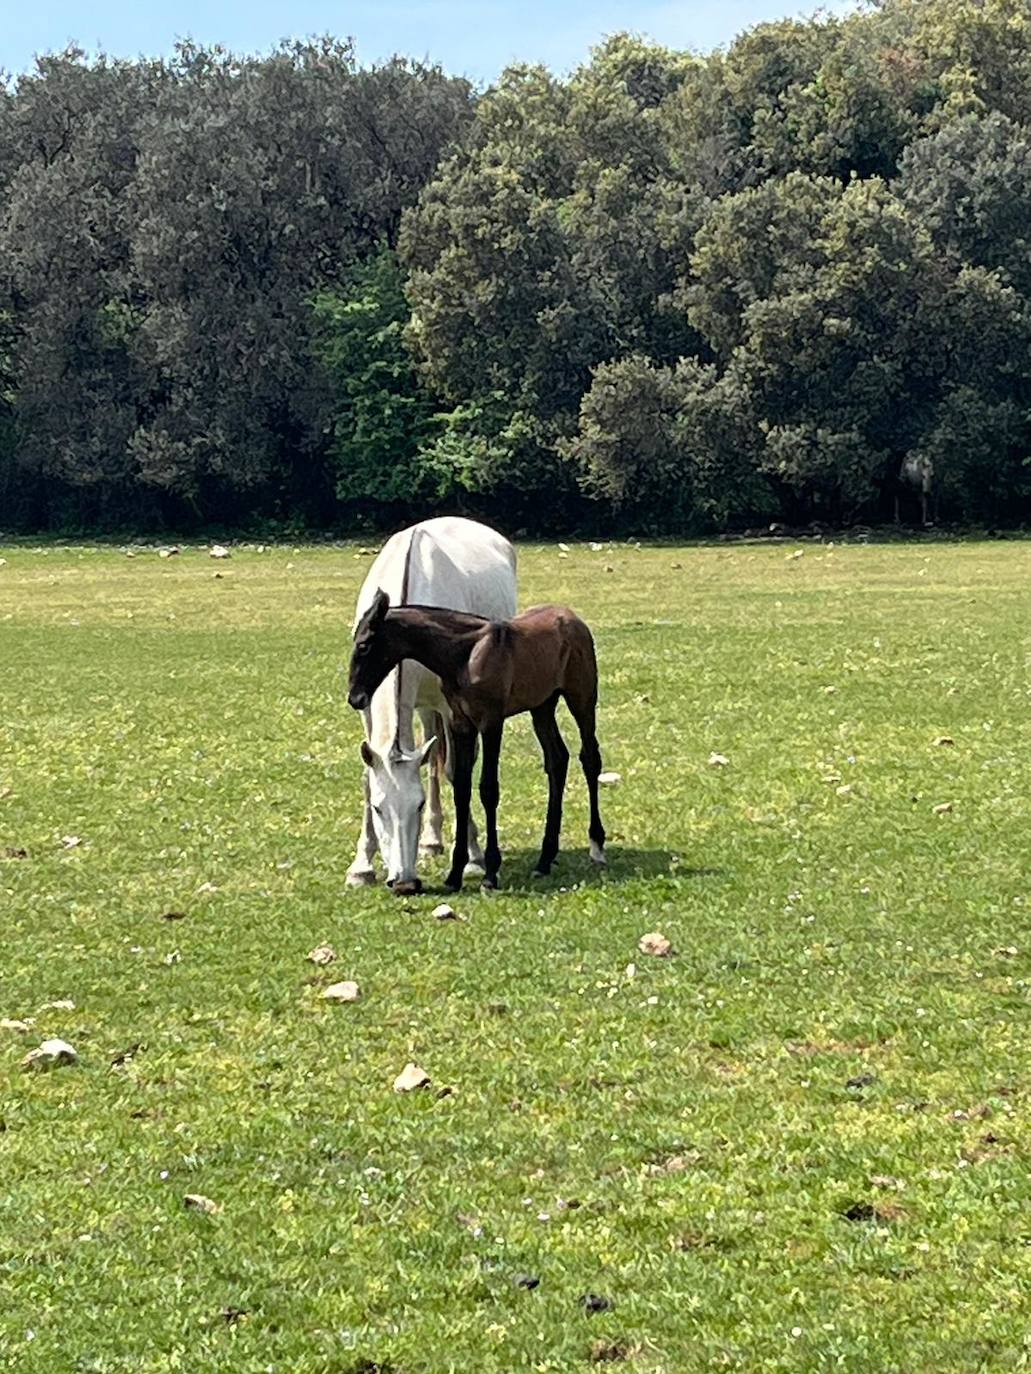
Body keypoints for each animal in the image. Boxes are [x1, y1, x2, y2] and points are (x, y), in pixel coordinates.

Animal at [349, 590, 604, 890]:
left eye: (364, 645)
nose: (355, 697)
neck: (464, 656)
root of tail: (574, 619)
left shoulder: (490, 723)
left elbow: (488, 789)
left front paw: (490, 873)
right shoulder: (461, 723)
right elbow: (461, 787)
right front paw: (454, 874)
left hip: (582, 698)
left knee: (590, 758)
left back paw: (596, 846)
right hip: (541, 706)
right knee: (557, 760)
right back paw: (544, 859)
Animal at [351, 519, 519, 895]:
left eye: (418, 804)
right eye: (378, 809)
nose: (404, 883)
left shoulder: (451, 707)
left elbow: (457, 772)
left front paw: (473, 856)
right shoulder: (367, 710)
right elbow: (369, 776)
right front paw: (361, 866)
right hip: (423, 709)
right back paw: (431, 841)